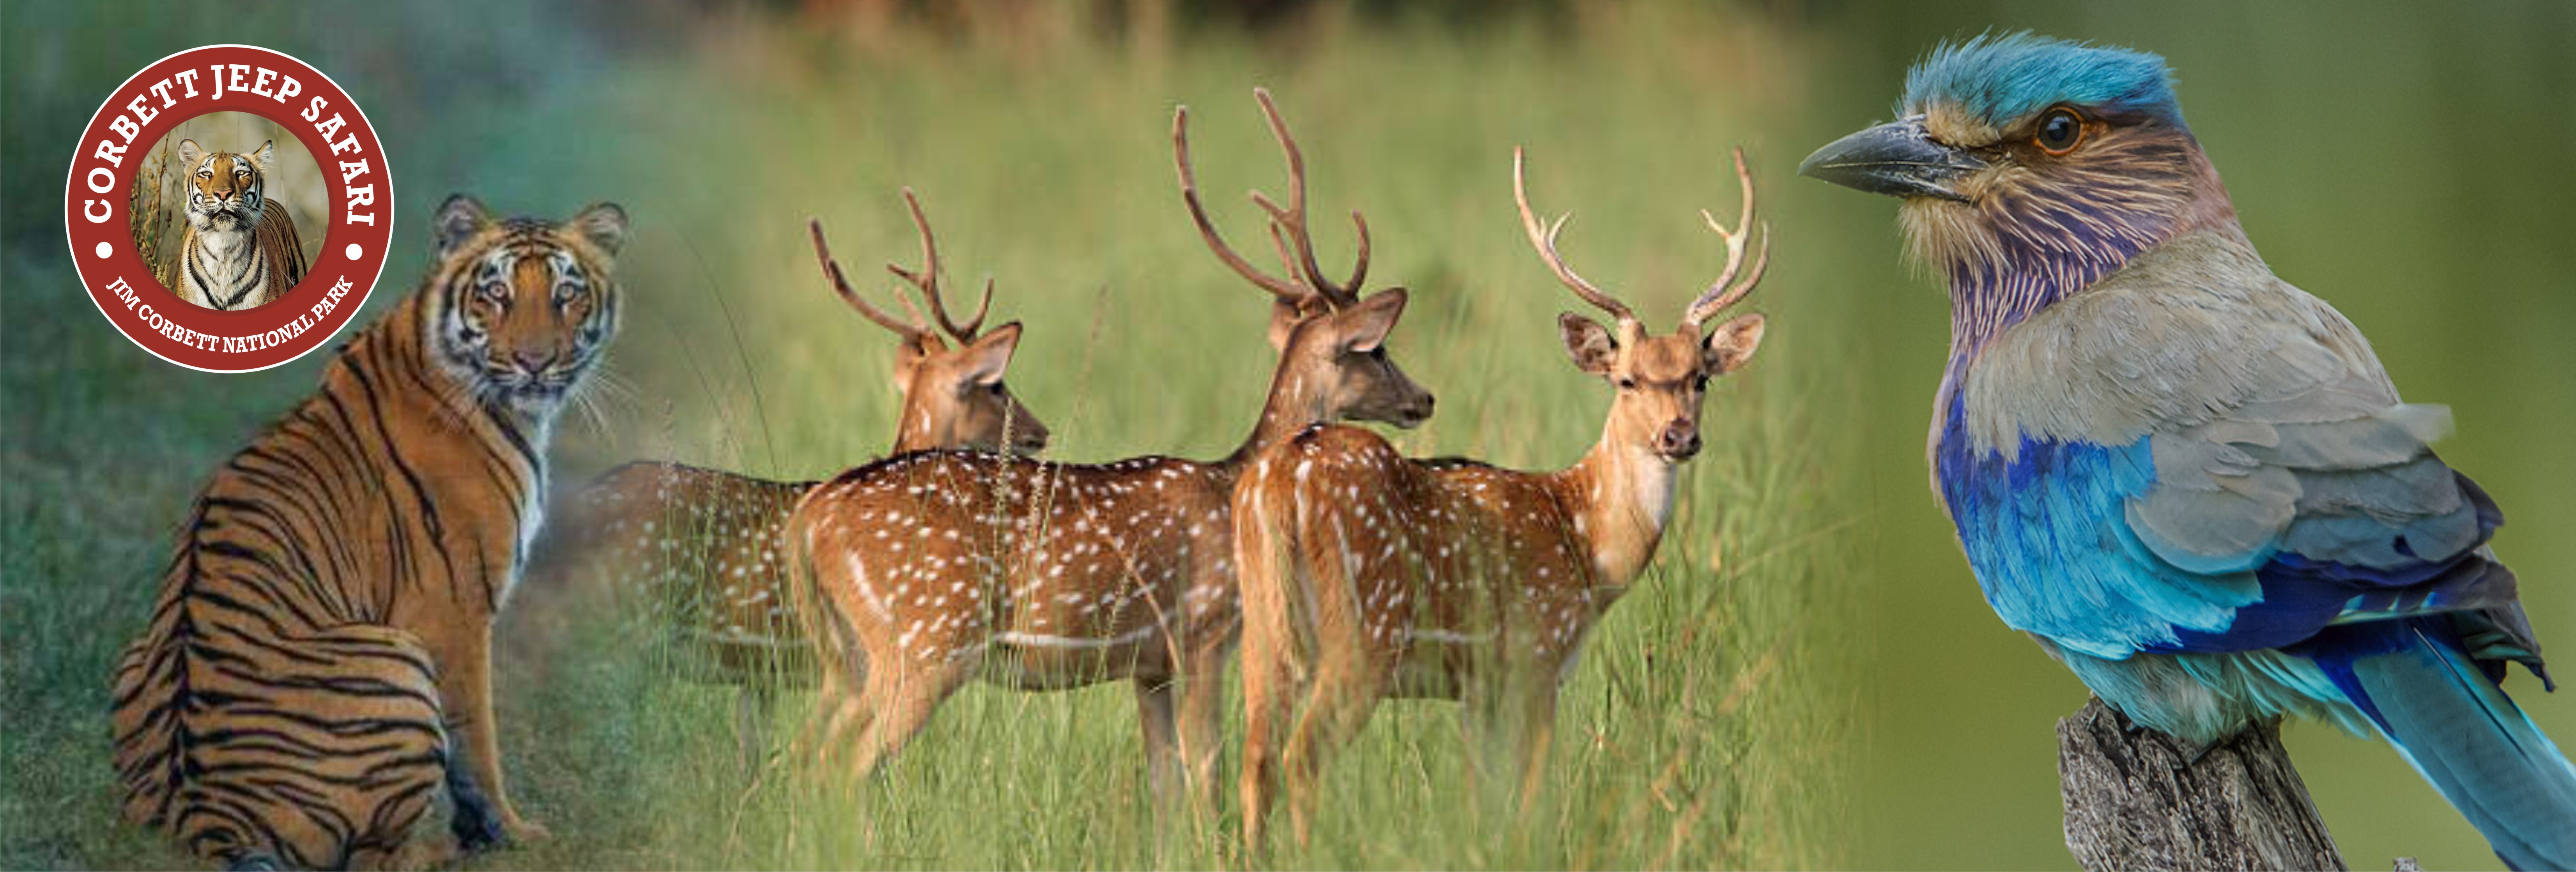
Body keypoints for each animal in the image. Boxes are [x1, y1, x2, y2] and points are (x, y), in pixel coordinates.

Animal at [111, 194, 633, 869]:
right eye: (497, 294)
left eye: (569, 295)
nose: (536, 363)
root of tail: (206, 815)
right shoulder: (453, 611)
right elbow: (478, 744)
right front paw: (512, 833)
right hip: (397, 662)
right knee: (376, 856)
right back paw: (442, 848)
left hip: (133, 659)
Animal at [783, 88, 1432, 797]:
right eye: (1377, 349)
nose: (1423, 398)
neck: (1232, 486)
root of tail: (809, 520)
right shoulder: (1201, 631)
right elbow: (1206, 767)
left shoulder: (1147, 666)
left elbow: (1164, 780)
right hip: (925, 640)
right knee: (840, 768)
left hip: (850, 656)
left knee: (806, 758)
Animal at [1231, 147, 1772, 844]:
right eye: (1626, 379)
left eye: (1701, 377)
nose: (1679, 435)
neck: (1588, 543)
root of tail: (1276, 482)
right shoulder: (1537, 654)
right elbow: (1534, 794)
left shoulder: (1479, 687)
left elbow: (1480, 800)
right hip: (1363, 628)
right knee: (1301, 756)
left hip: (1263, 629)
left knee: (1254, 760)